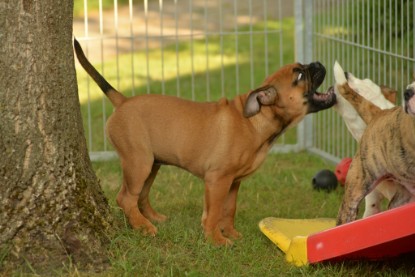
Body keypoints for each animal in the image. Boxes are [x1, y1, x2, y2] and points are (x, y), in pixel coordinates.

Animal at [73, 38, 336, 244]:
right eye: (300, 75)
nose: (318, 63)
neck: (257, 119)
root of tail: (123, 101)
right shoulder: (217, 180)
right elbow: (214, 212)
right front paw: (216, 240)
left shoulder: (233, 182)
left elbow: (228, 209)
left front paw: (230, 233)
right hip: (139, 162)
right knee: (126, 198)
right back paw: (145, 227)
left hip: (152, 164)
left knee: (140, 196)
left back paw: (151, 218)